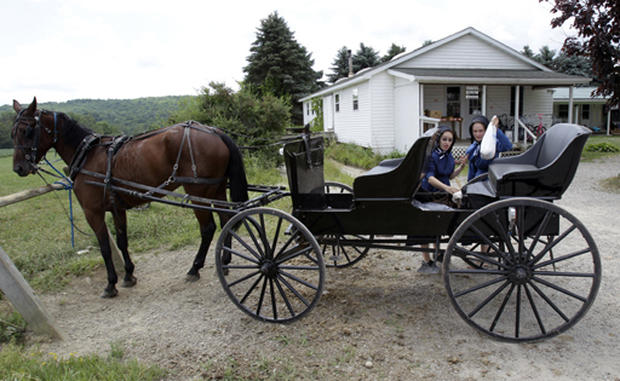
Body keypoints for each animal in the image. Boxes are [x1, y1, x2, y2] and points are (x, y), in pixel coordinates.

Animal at [10, 97, 248, 296]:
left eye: (27, 130)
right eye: (12, 133)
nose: (19, 168)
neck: (88, 154)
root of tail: (214, 131)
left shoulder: (92, 212)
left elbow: (105, 248)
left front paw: (110, 284)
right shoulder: (118, 208)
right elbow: (122, 241)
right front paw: (128, 275)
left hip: (198, 192)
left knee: (208, 228)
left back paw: (194, 268)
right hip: (216, 189)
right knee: (227, 220)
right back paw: (225, 260)